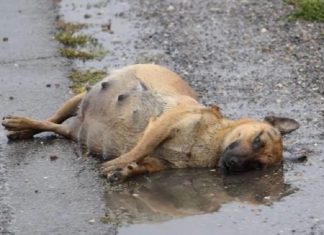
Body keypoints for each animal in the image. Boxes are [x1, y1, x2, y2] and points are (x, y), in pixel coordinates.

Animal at [1, 64, 300, 184]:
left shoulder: (161, 162)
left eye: (257, 166)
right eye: (258, 139)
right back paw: (20, 123)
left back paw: (22, 129)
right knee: (50, 119)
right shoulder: (161, 125)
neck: (208, 144)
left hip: (74, 130)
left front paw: (125, 172)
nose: (233, 164)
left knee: (55, 127)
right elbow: (139, 149)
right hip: (78, 99)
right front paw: (115, 164)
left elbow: (143, 164)